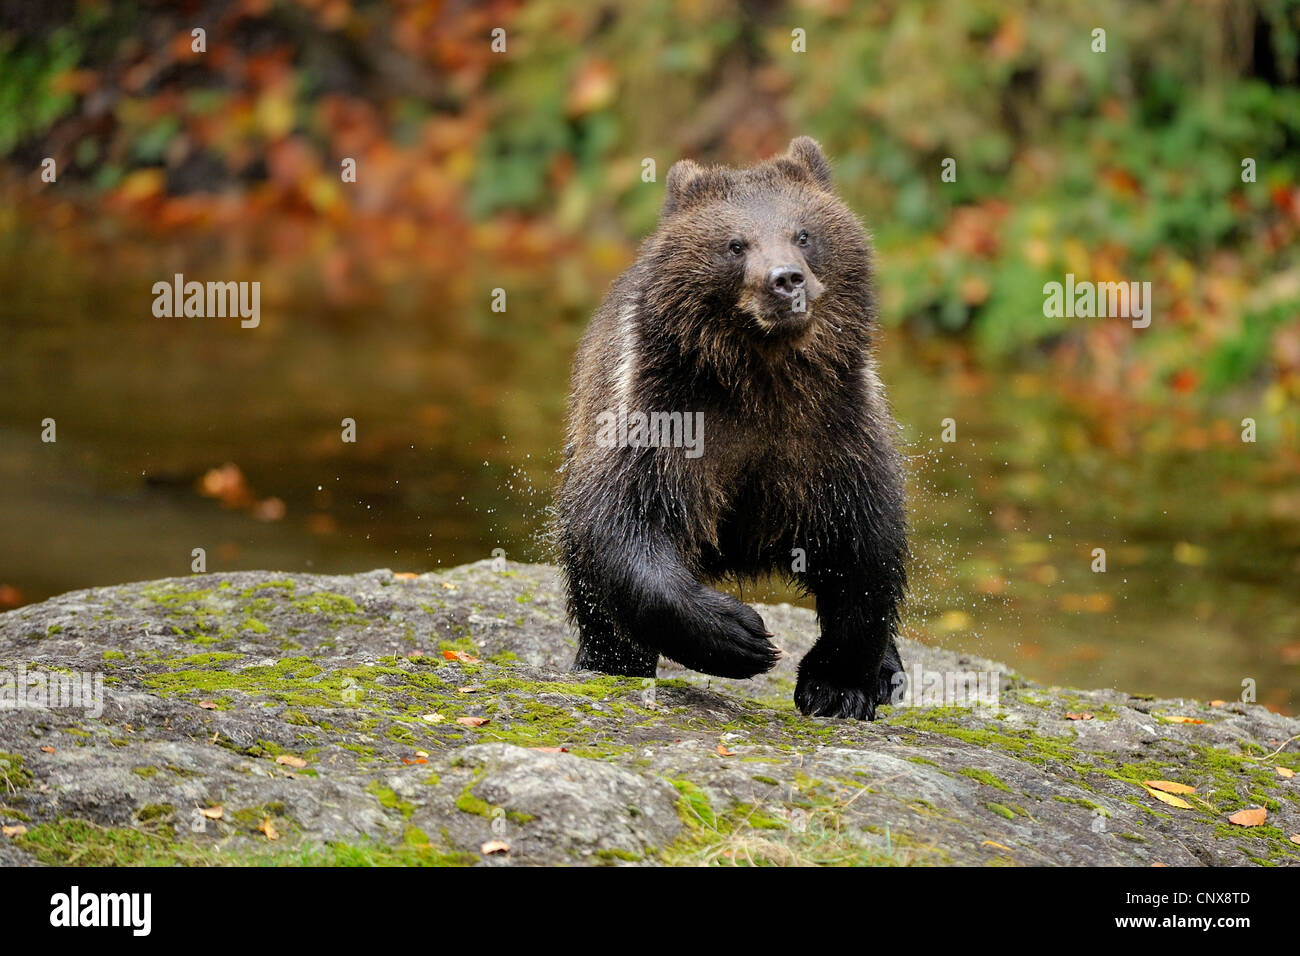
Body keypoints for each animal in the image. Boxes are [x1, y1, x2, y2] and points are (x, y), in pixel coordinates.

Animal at [556, 134, 904, 717]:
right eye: (735, 244)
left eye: (803, 234)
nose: (786, 280)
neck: (761, 379)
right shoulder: (666, 418)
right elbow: (624, 527)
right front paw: (742, 636)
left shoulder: (836, 431)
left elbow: (864, 549)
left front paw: (837, 687)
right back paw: (608, 660)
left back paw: (888, 669)